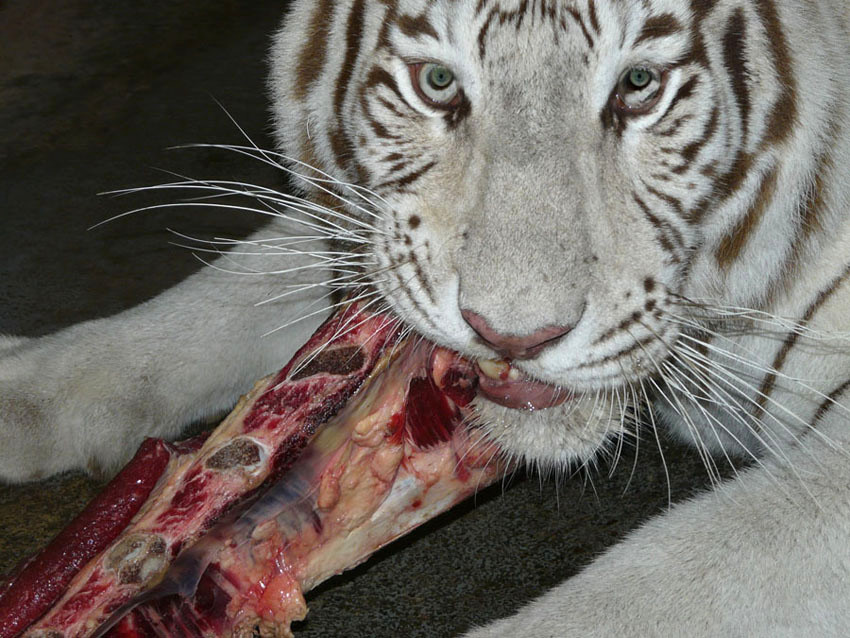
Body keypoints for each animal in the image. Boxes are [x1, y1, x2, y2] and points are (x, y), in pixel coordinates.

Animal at [1, 0, 848, 636]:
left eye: (640, 84)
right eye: (437, 82)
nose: (510, 335)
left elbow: (648, 588)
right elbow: (225, 295)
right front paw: (22, 393)